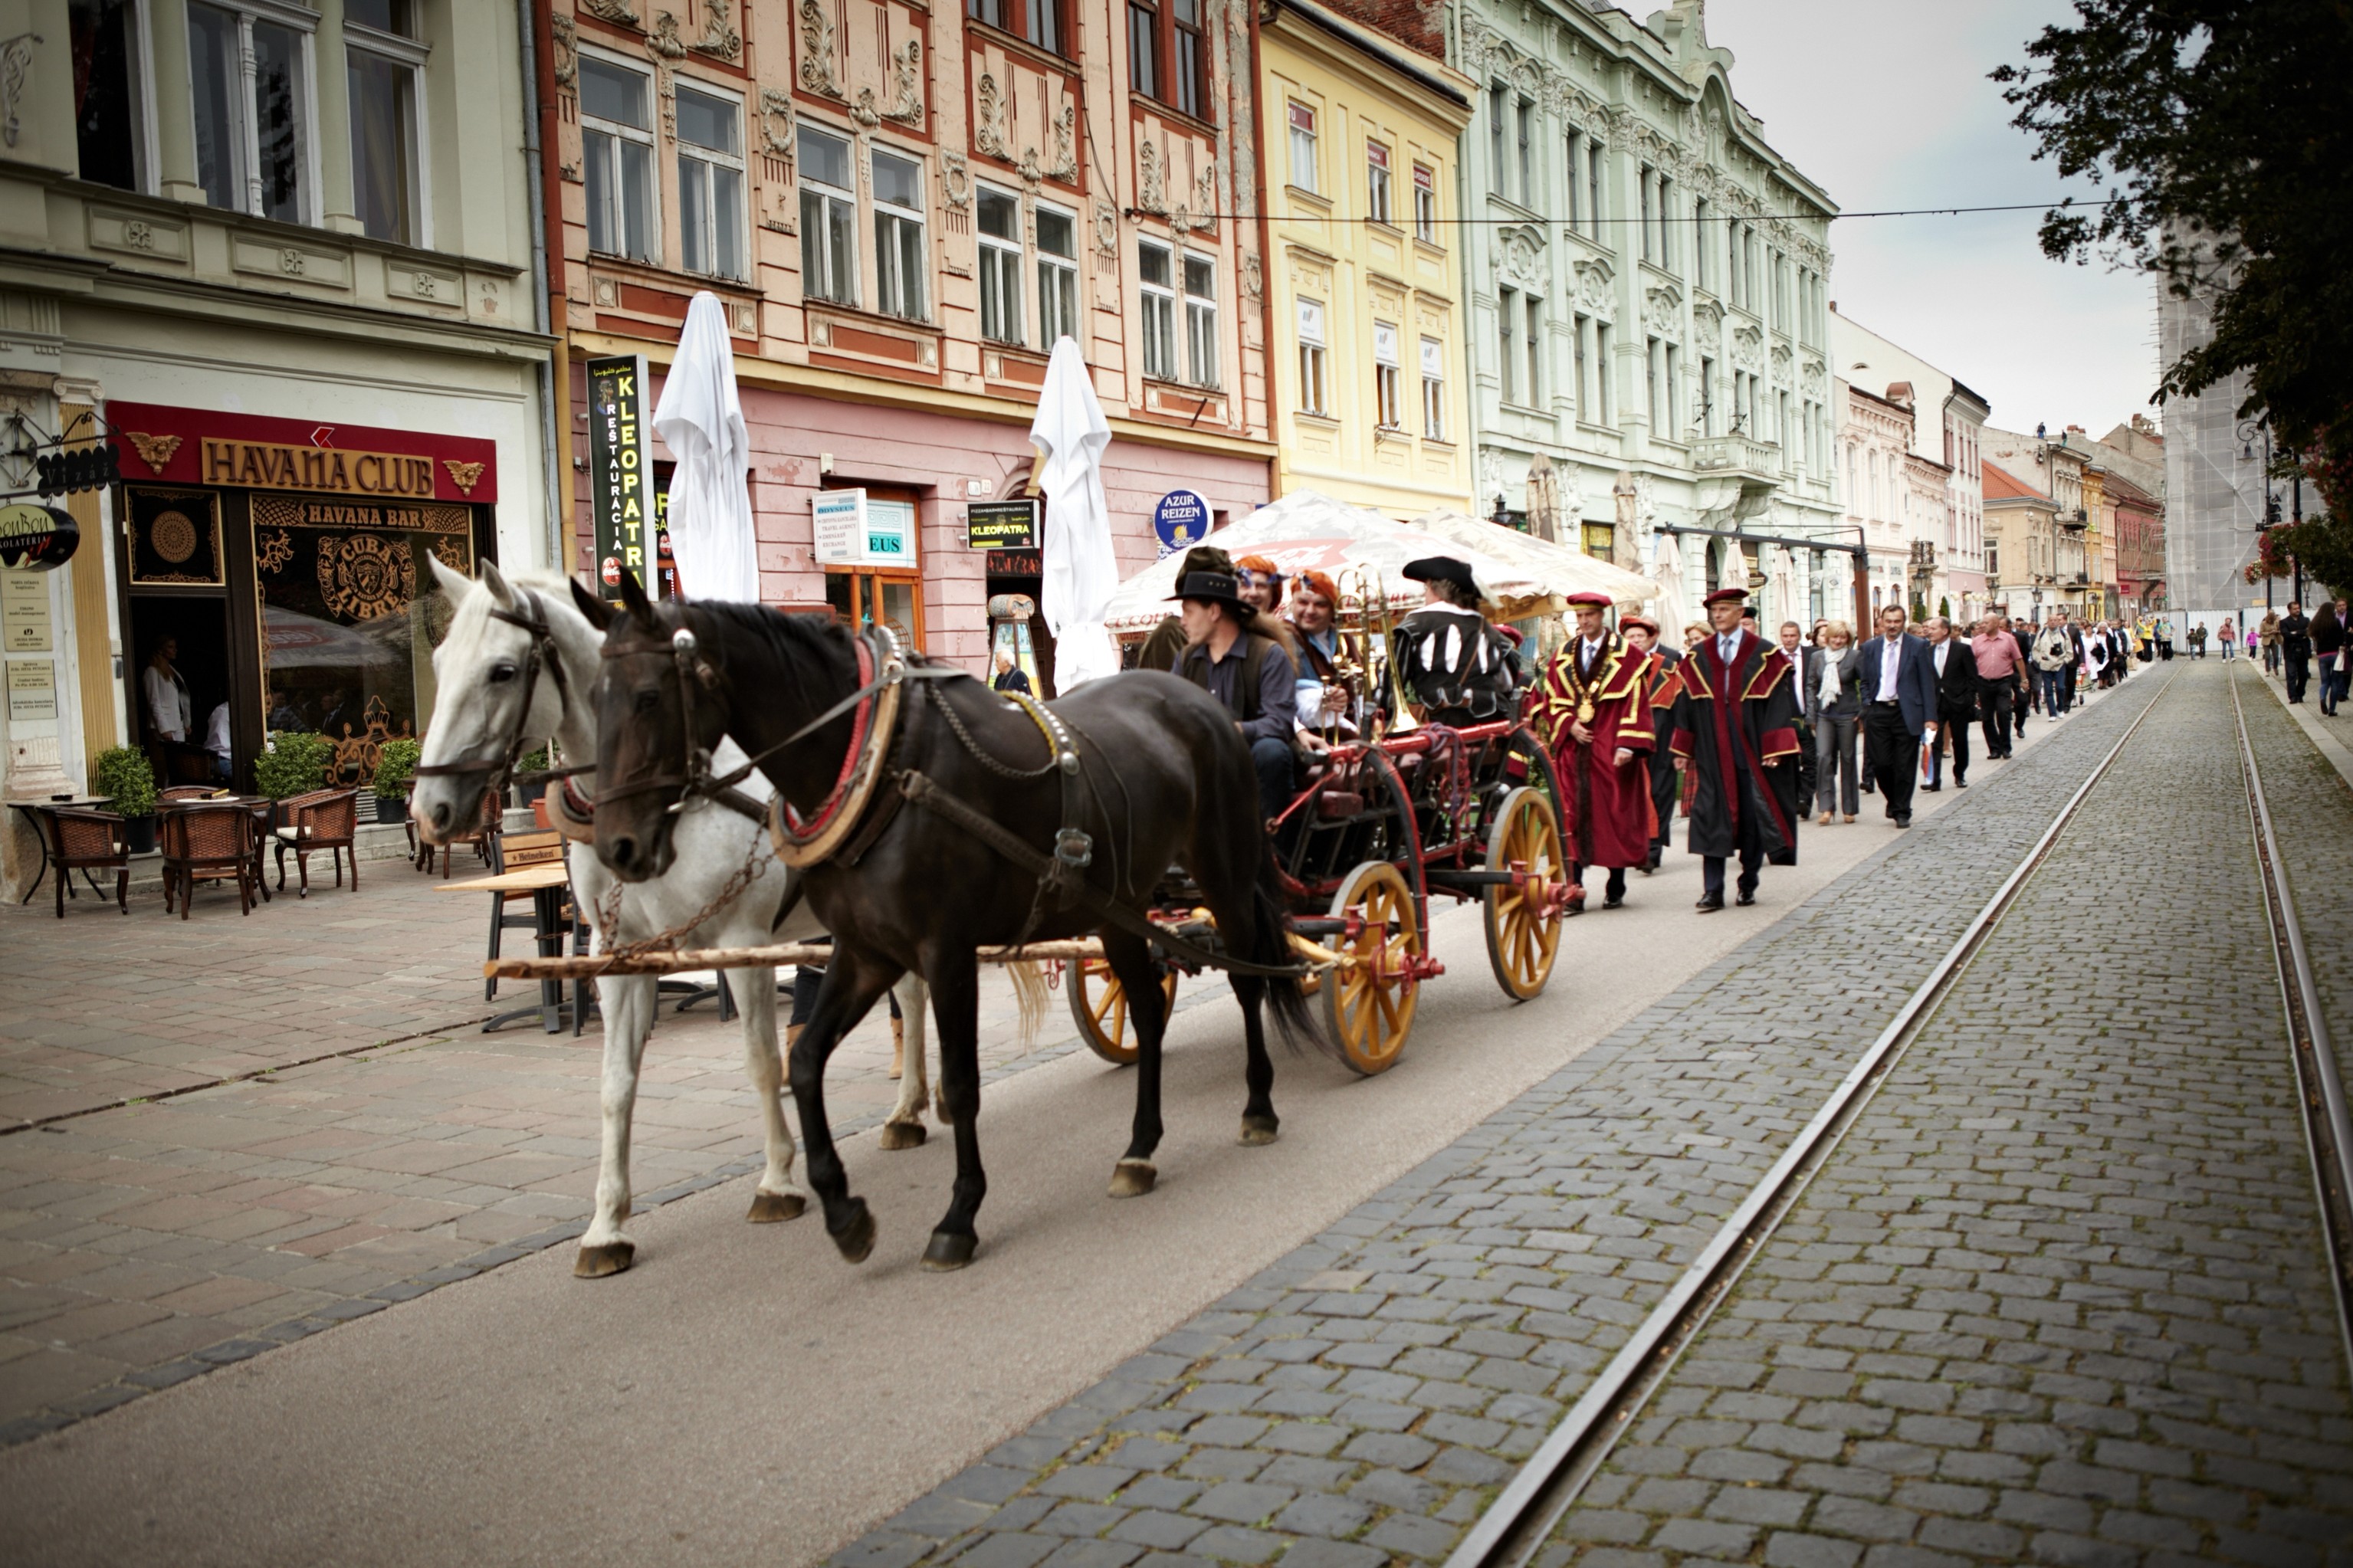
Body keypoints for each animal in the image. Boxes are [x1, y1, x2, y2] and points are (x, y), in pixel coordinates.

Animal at [414, 556, 936, 1281]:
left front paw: (777, 1180)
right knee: (910, 991)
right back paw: (910, 1108)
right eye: (439, 660)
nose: (427, 809)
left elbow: (760, 1061)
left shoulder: (743, 941)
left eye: (503, 670)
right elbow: (616, 1084)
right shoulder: (620, 954)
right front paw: (606, 1225)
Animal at [566, 576, 1308, 1271]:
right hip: (1119, 909)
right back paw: (1139, 1149)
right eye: (594, 696)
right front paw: (843, 1211)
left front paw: (959, 1216)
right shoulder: (864, 951)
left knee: (1247, 981)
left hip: (1225, 875)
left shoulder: (945, 951)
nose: (617, 847)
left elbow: (961, 1081)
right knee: (1149, 1010)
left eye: (649, 697)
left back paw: (1259, 1107)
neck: (881, 759)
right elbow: (804, 1062)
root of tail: (1201, 703)